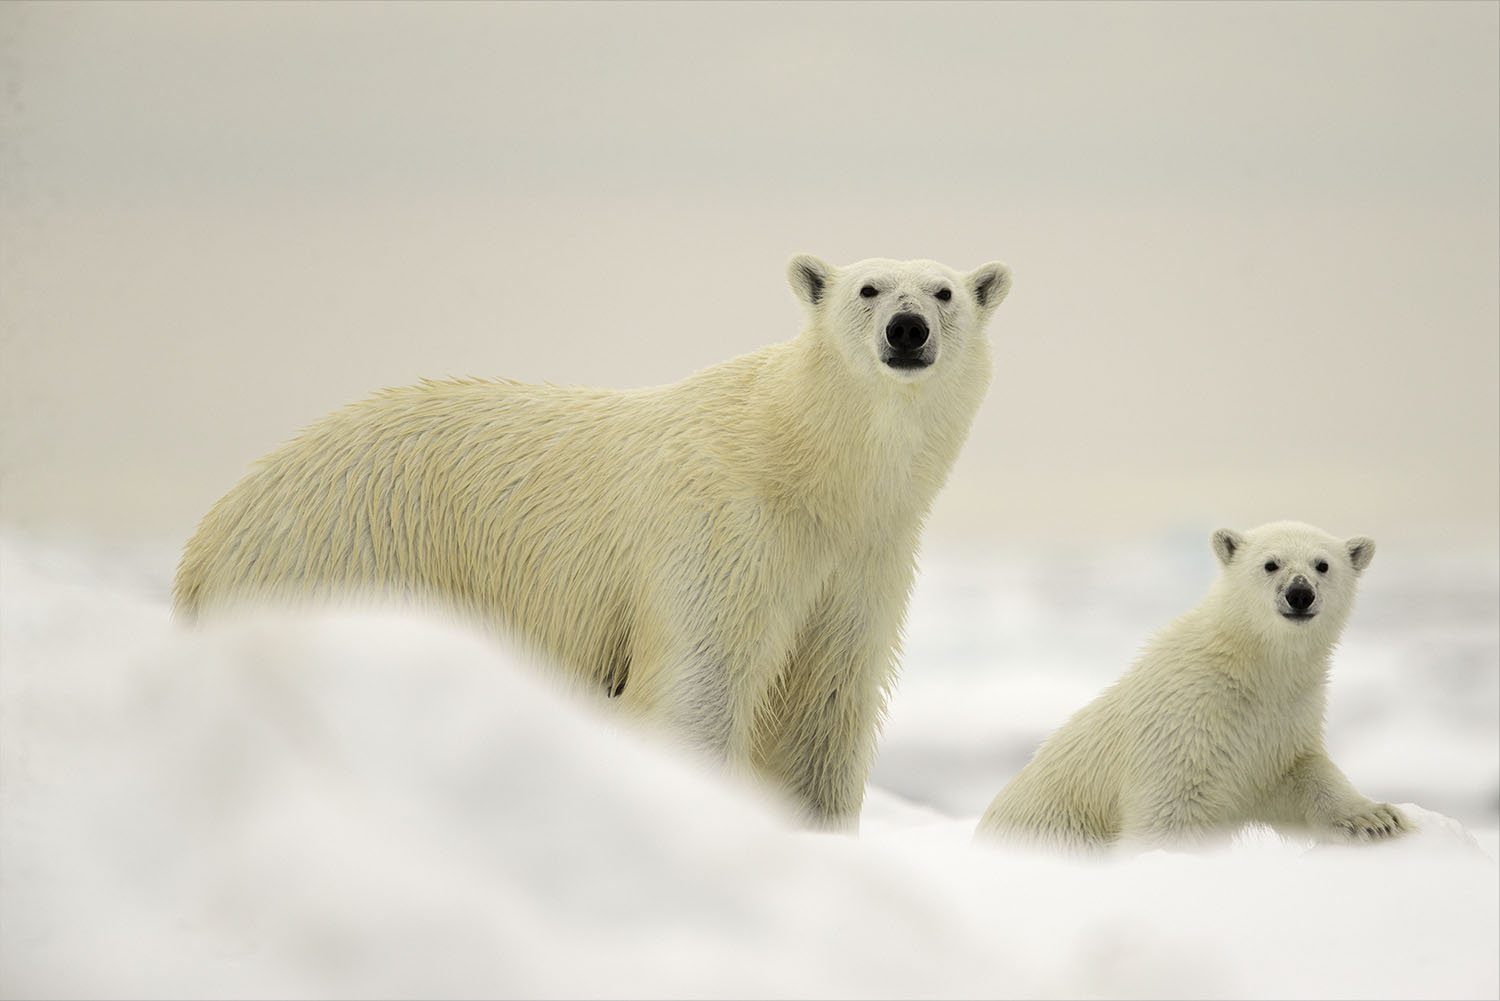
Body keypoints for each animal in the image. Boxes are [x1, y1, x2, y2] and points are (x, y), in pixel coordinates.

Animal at [178, 255, 1020, 828]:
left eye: (944, 291)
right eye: (867, 289)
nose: (907, 330)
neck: (806, 465)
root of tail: (208, 536)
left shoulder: (864, 561)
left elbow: (828, 703)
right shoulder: (724, 534)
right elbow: (700, 681)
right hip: (342, 550)